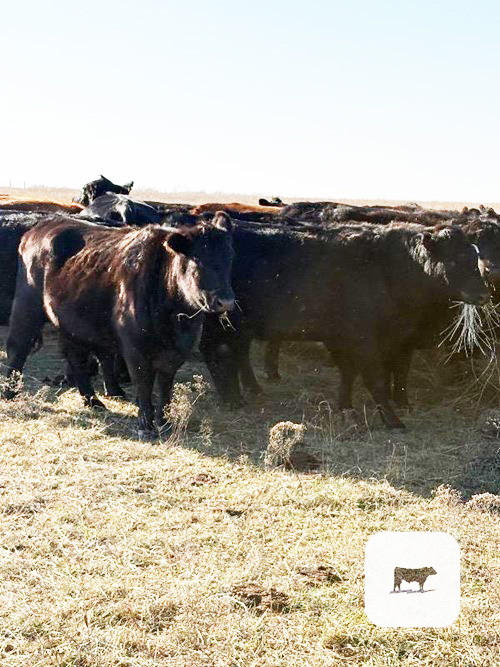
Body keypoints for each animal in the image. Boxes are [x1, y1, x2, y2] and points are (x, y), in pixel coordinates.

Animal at [3, 213, 235, 438]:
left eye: (229, 259)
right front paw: (146, 426)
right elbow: (143, 382)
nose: (226, 301)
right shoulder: (135, 348)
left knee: (76, 358)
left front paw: (164, 422)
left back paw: (93, 401)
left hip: (71, 322)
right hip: (27, 306)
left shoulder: (177, 351)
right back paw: (9, 393)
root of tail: (41, 227)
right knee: (18, 347)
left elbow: (165, 386)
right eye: (198, 261)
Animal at [199, 221, 489, 428]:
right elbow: (375, 378)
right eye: (453, 260)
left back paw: (251, 391)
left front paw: (345, 406)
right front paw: (392, 420)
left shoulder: (364, 339)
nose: (483, 294)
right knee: (216, 352)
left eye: (474, 259)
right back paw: (233, 400)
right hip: (221, 322)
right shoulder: (361, 338)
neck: (387, 268)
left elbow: (353, 372)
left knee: (236, 353)